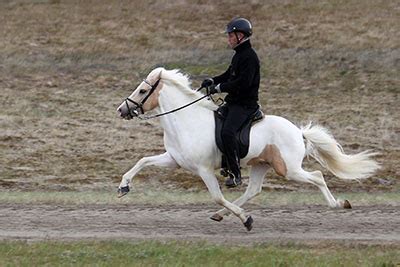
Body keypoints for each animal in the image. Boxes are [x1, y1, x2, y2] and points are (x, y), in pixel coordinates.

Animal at [116, 66, 378, 230]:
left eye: (142, 90)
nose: (121, 110)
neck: (187, 120)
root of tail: (298, 131)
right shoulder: (173, 159)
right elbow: (142, 161)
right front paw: (123, 187)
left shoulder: (204, 170)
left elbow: (217, 196)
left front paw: (246, 220)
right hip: (261, 165)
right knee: (254, 190)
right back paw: (221, 216)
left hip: (288, 169)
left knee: (317, 176)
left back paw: (338, 204)